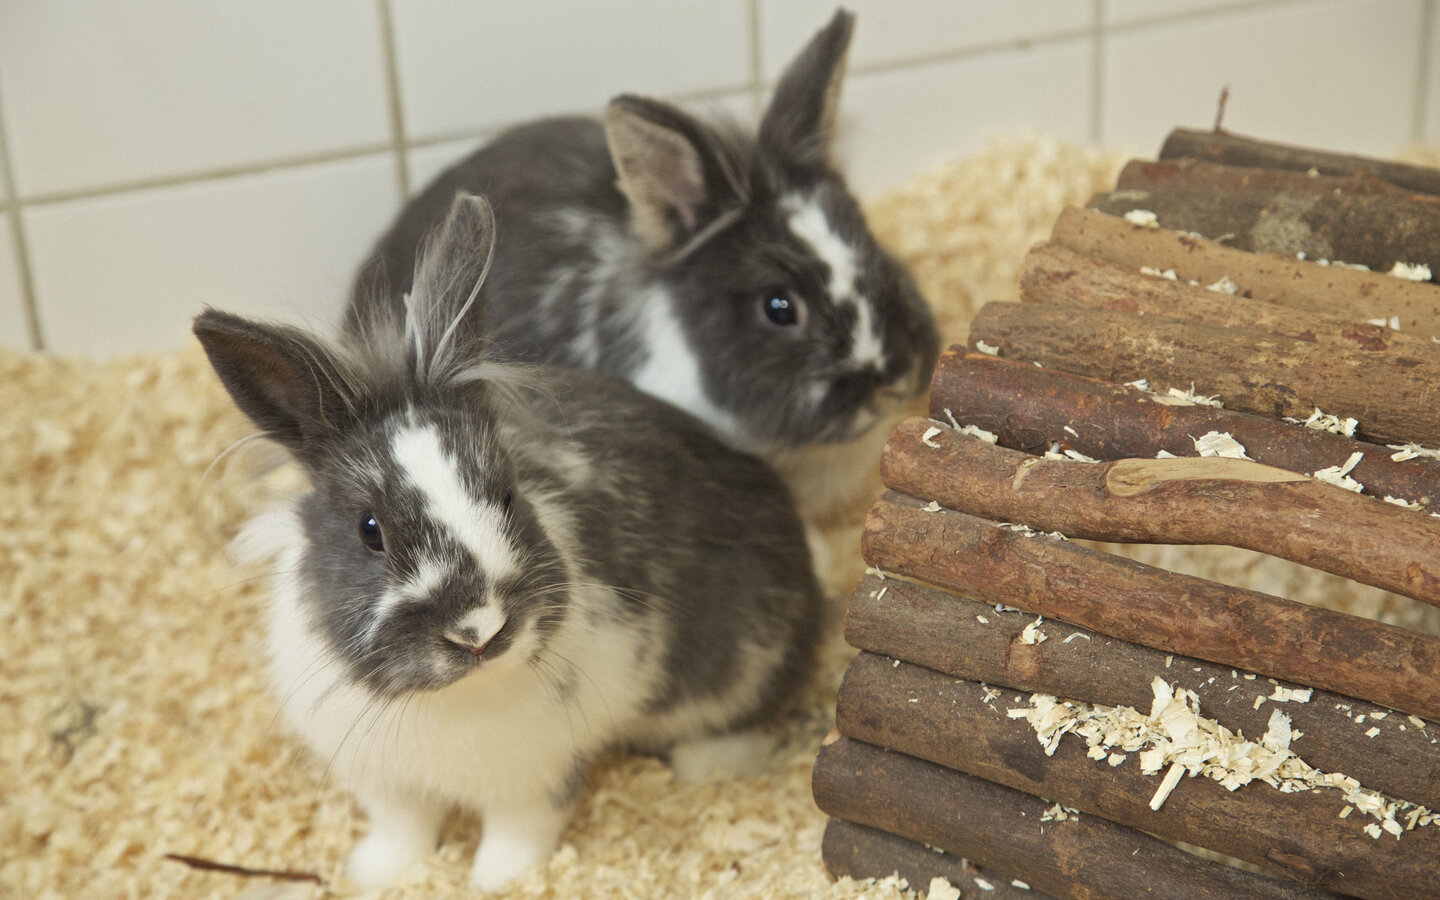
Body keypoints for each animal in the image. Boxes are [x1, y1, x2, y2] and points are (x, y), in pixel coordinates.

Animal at [197, 192, 823, 887]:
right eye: (370, 531)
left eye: (506, 494)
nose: (479, 631)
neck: (454, 699)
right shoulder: (384, 781)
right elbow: (401, 829)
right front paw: (373, 875)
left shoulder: (535, 776)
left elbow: (518, 833)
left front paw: (496, 881)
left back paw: (705, 767)